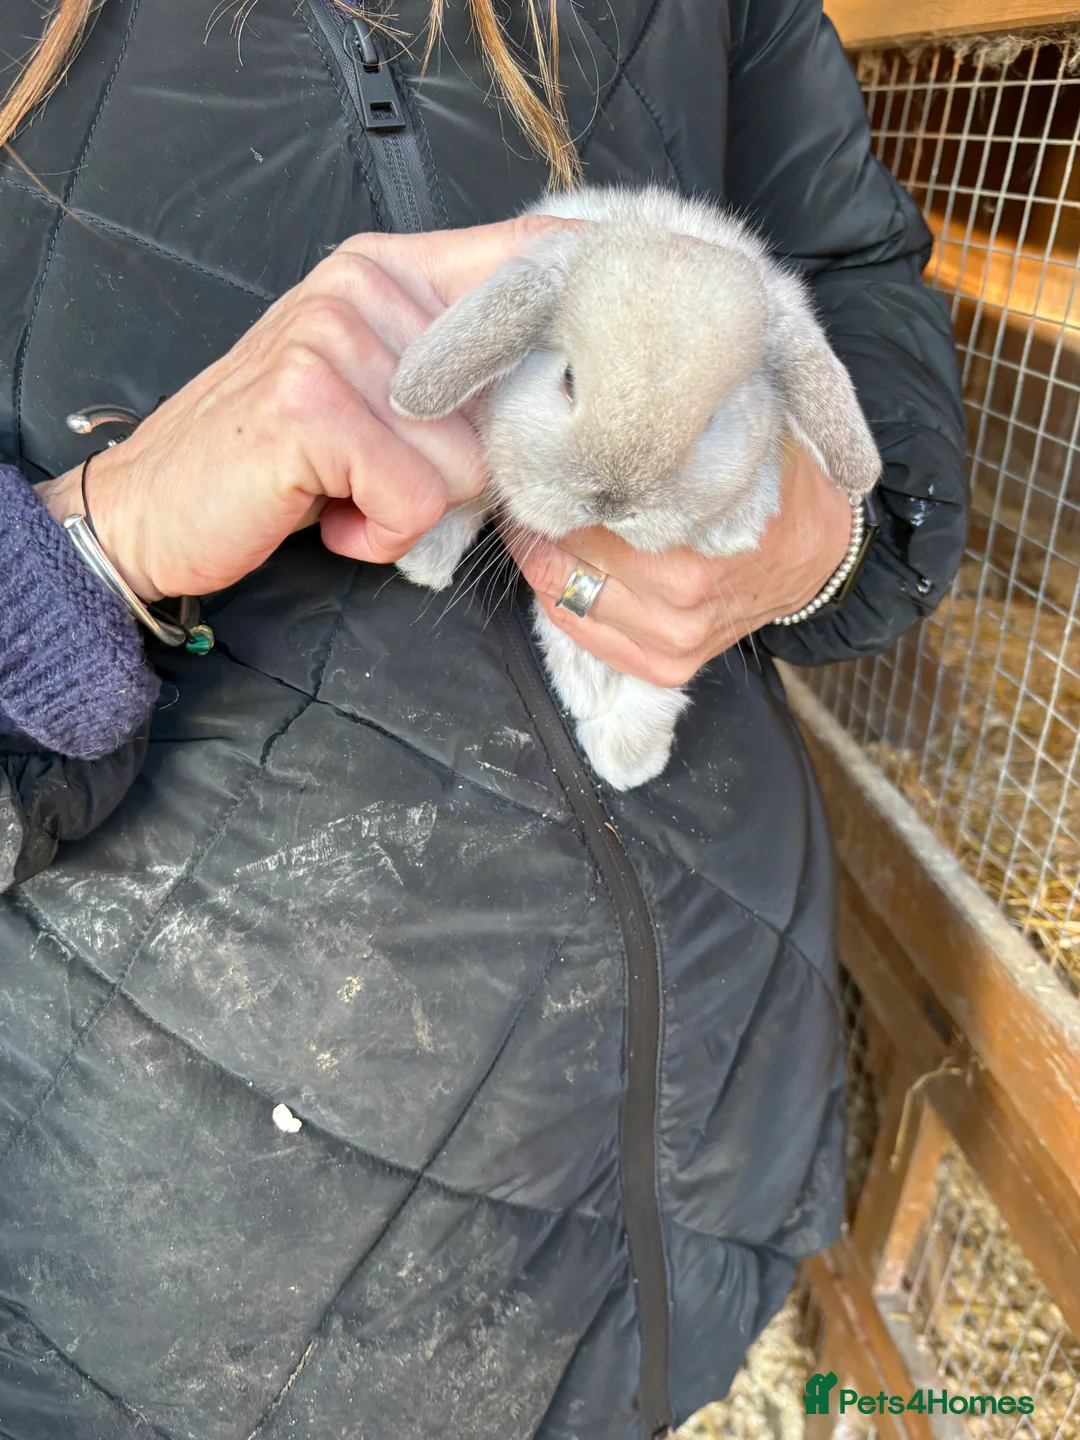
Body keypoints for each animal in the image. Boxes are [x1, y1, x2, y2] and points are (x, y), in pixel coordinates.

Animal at [389, 185, 881, 791]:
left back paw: (625, 756)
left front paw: (734, 528)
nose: (613, 501)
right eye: (568, 379)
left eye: (713, 419)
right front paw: (424, 557)